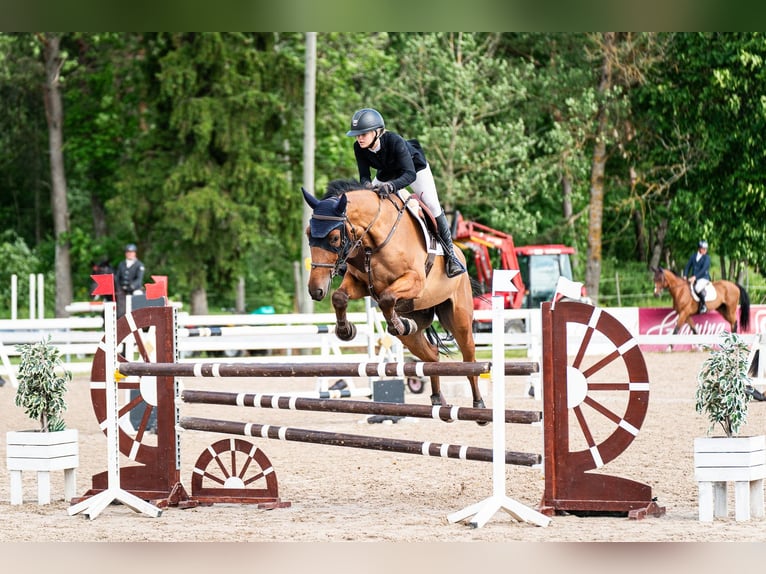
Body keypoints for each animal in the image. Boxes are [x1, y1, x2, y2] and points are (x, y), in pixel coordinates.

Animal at [302, 181, 486, 414]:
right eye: (308, 234)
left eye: (334, 238)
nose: (315, 290)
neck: (373, 241)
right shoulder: (359, 283)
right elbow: (339, 297)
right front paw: (345, 330)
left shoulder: (414, 280)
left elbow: (387, 298)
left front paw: (398, 324)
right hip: (414, 333)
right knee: (431, 355)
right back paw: (438, 400)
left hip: (460, 320)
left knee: (470, 360)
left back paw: (479, 406)